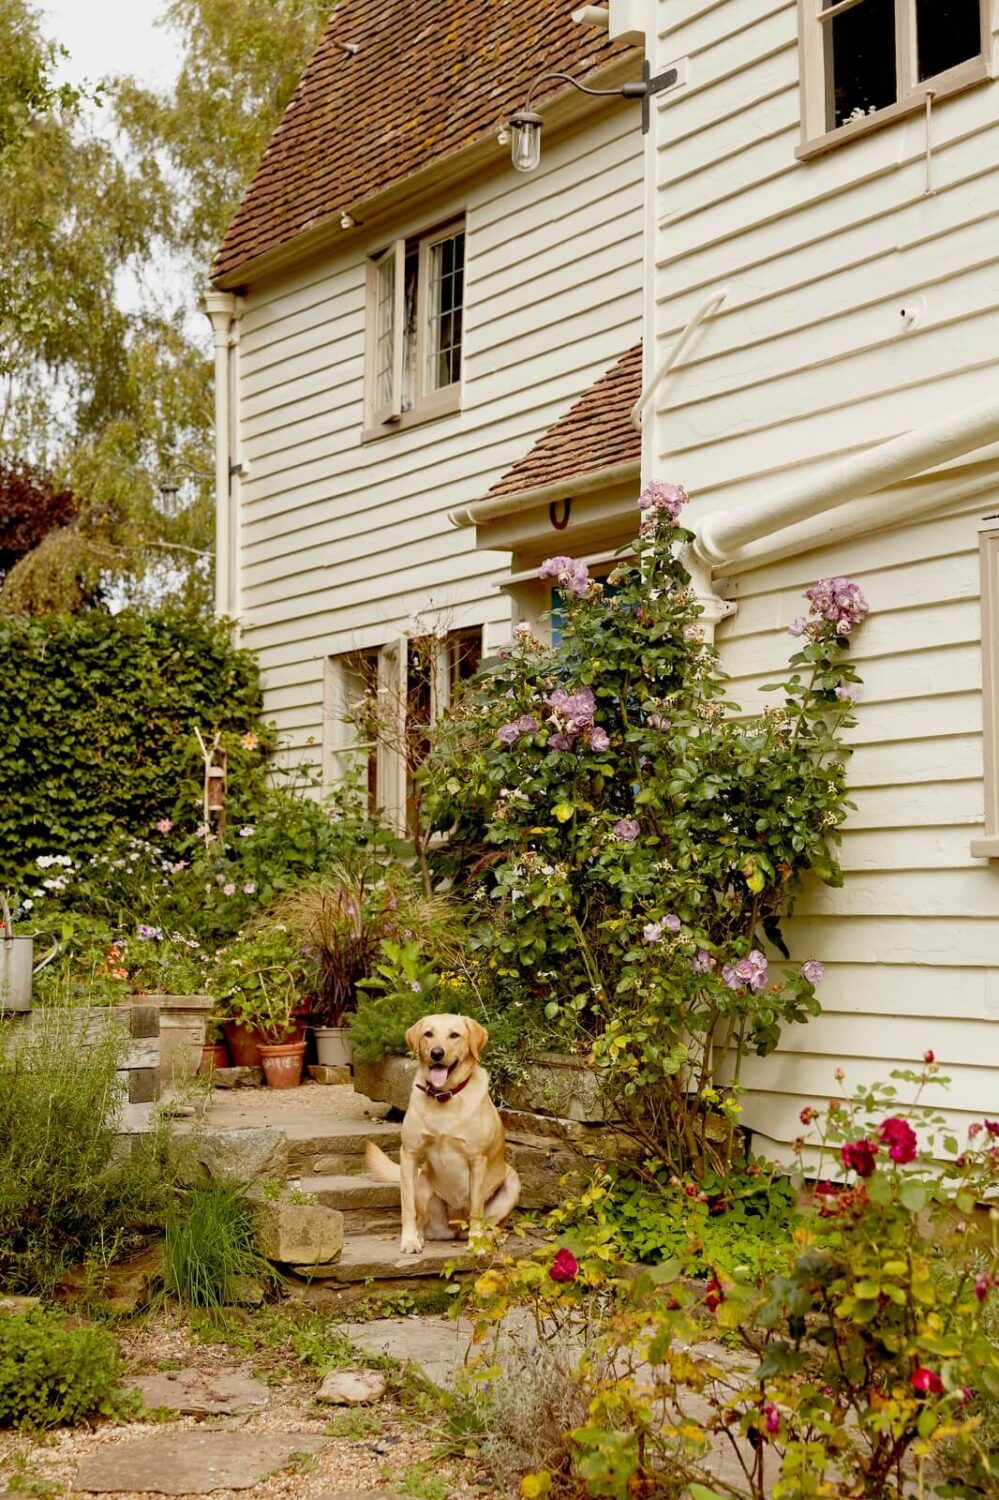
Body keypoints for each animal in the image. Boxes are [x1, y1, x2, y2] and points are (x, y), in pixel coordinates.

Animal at [366, 1008, 522, 1254]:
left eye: (454, 1035)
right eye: (428, 1034)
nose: (437, 1053)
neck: (444, 1096)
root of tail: (456, 1229)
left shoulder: (477, 1160)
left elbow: (476, 1210)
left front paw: (477, 1245)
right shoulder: (409, 1154)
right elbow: (407, 1207)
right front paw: (409, 1240)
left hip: (512, 1183)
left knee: (494, 1225)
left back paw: (491, 1238)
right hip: (422, 1183)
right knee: (422, 1220)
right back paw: (420, 1236)